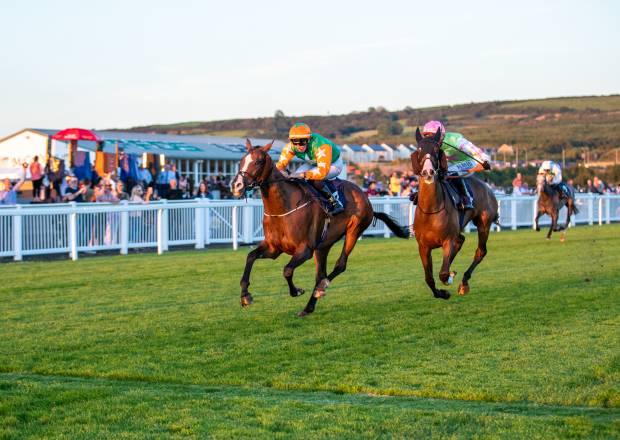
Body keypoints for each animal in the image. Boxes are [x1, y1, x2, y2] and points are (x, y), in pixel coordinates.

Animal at [230, 139, 410, 314]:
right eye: (242, 160)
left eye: (259, 161)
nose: (237, 185)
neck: (284, 207)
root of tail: (364, 196)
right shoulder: (274, 248)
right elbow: (250, 257)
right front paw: (245, 296)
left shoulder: (305, 250)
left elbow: (287, 270)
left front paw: (296, 291)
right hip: (323, 246)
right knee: (320, 273)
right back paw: (308, 307)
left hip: (353, 231)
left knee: (339, 265)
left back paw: (321, 288)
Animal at [412, 128, 498, 300]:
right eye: (419, 150)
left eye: (436, 150)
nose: (428, 172)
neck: (431, 210)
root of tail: (487, 187)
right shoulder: (423, 246)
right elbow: (429, 278)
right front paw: (441, 292)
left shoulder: (448, 240)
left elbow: (443, 274)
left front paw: (449, 280)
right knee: (461, 240)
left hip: (484, 223)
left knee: (480, 251)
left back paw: (464, 283)